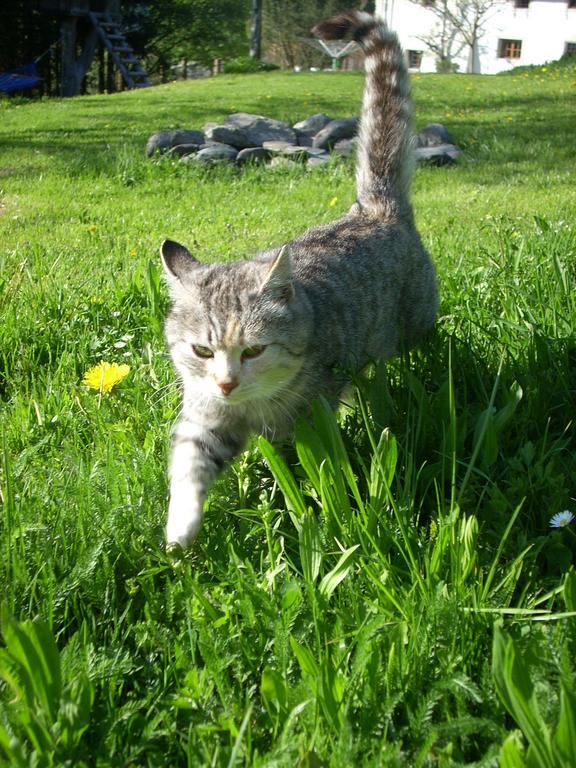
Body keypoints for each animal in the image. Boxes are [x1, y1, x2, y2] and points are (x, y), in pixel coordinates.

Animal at [160, 7, 438, 544]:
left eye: (254, 350)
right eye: (202, 351)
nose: (226, 384)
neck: (250, 406)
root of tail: (373, 208)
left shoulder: (307, 416)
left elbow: (311, 468)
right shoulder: (205, 414)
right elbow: (188, 463)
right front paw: (180, 529)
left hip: (416, 325)